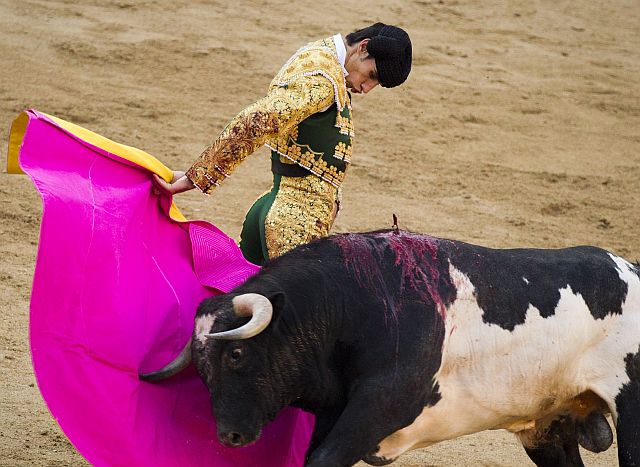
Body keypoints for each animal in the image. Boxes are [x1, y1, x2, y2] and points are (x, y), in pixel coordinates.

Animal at [141, 231, 640, 467]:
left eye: (237, 355)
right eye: (201, 369)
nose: (229, 436)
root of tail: (632, 268)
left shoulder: (382, 404)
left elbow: (323, 459)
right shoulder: (336, 414)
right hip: (548, 429)